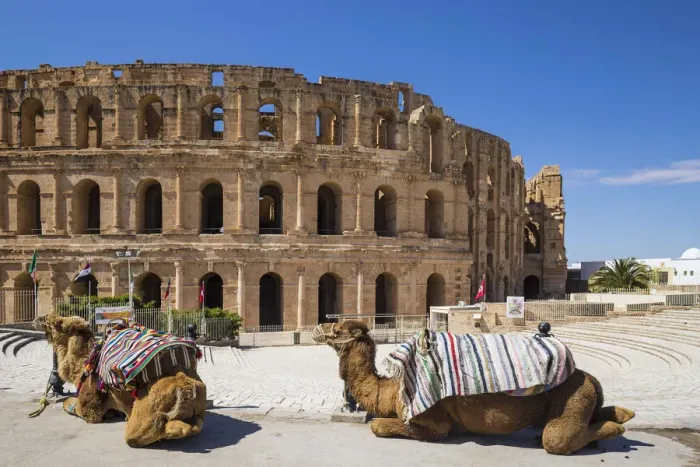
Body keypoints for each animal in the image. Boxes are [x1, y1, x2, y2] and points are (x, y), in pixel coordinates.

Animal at [34, 313, 207, 447]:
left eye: (58, 322)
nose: (39, 318)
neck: (84, 366)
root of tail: (185, 384)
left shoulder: (90, 406)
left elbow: (72, 405)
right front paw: (112, 414)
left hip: (144, 417)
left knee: (145, 433)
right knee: (197, 423)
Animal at [312, 320, 636, 455]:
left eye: (337, 329)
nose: (318, 328)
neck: (392, 389)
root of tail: (589, 377)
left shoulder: (432, 421)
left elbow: (378, 425)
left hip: (571, 398)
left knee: (556, 439)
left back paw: (616, 428)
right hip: (583, 396)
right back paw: (623, 415)